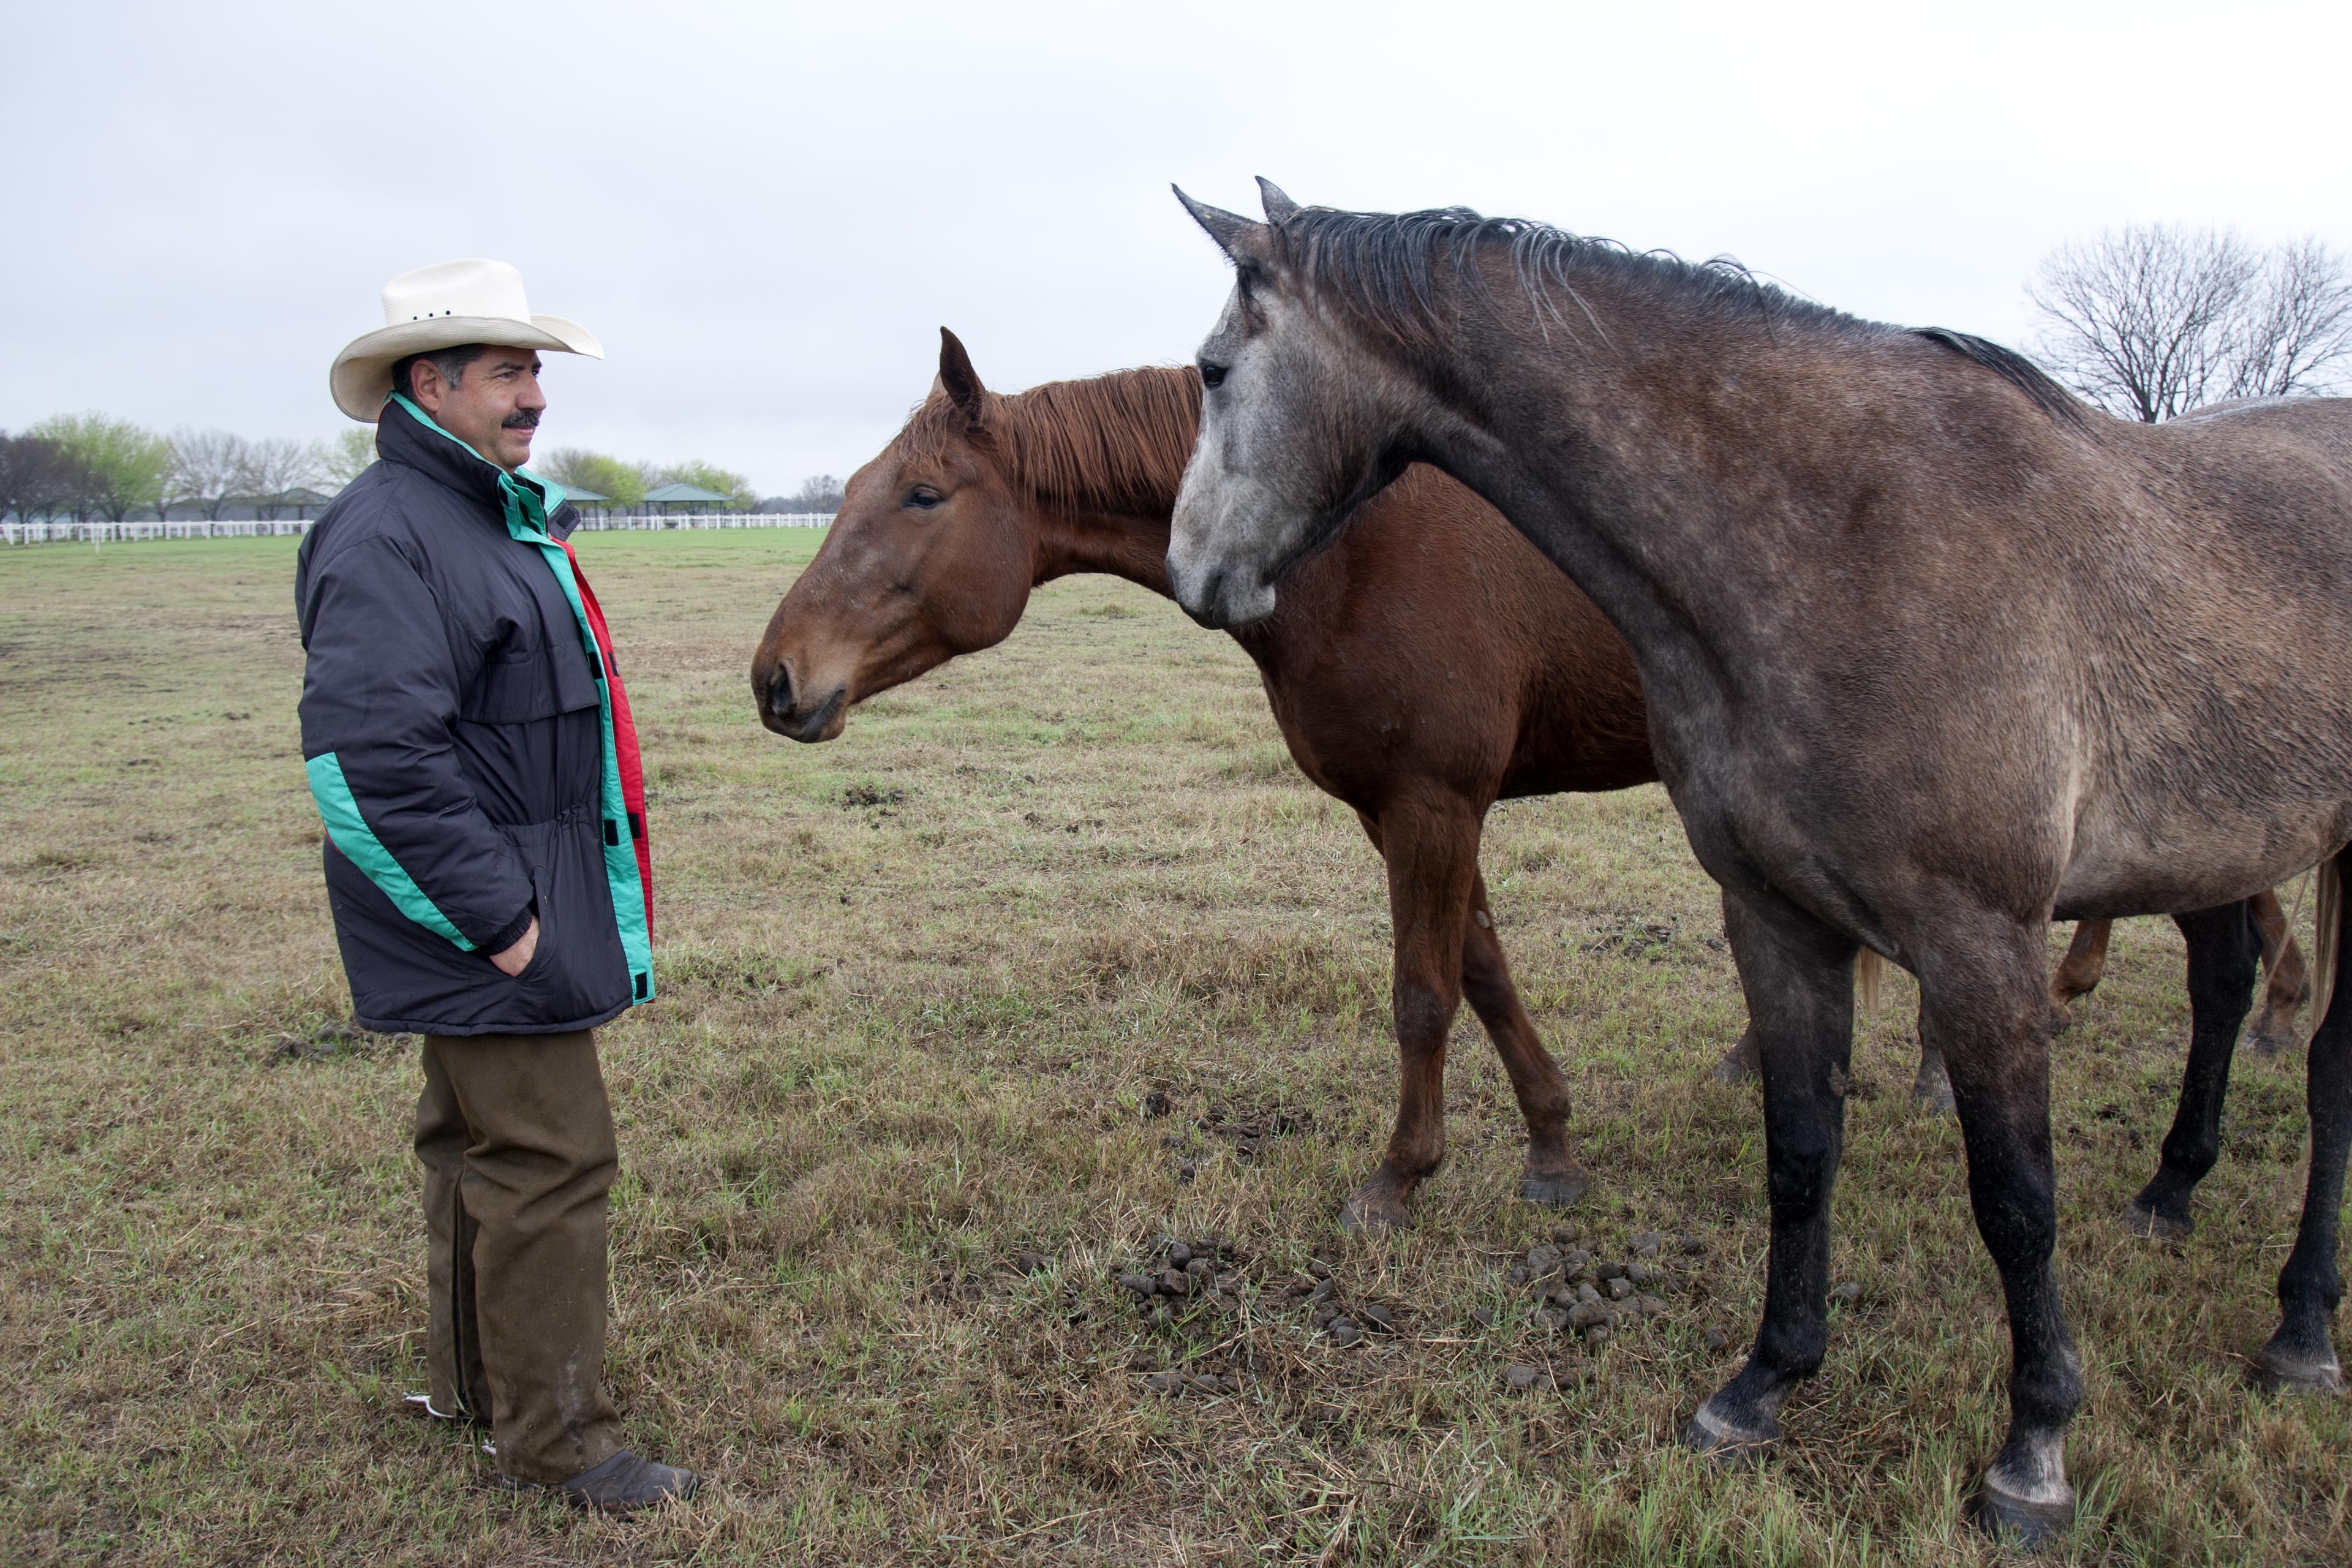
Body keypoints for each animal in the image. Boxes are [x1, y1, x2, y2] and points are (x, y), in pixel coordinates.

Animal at [757, 329, 2314, 1241]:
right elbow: (1488, 973)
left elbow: (1422, 992)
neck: (1344, 541)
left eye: (920, 496)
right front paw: (1553, 1144)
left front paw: (1398, 1177)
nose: (776, 678)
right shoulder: (1422, 809)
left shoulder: (1429, 806)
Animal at [1166, 184, 2352, 1542]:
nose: (1191, 570)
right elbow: (1799, 1156)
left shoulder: (1984, 940)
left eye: (1213, 369)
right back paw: (2215, 1243)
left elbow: (2016, 1199)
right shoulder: (1776, 921)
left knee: (2313, 1056)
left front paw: (2034, 1450)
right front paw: (1762, 1385)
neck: (1843, 535)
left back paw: (2289, 1313)